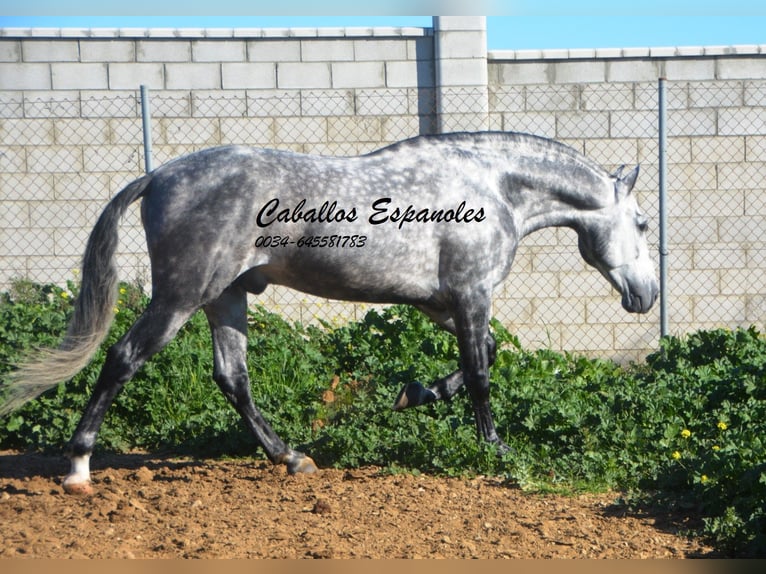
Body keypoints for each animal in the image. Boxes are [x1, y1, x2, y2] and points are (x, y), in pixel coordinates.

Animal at [0, 132, 660, 496]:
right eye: (643, 223)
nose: (646, 295)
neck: (492, 186)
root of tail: (158, 175)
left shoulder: (440, 303)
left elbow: (482, 358)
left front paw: (412, 394)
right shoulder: (471, 295)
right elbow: (480, 374)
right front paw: (494, 449)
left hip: (226, 298)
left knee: (231, 377)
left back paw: (292, 457)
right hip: (181, 297)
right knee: (123, 358)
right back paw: (79, 467)